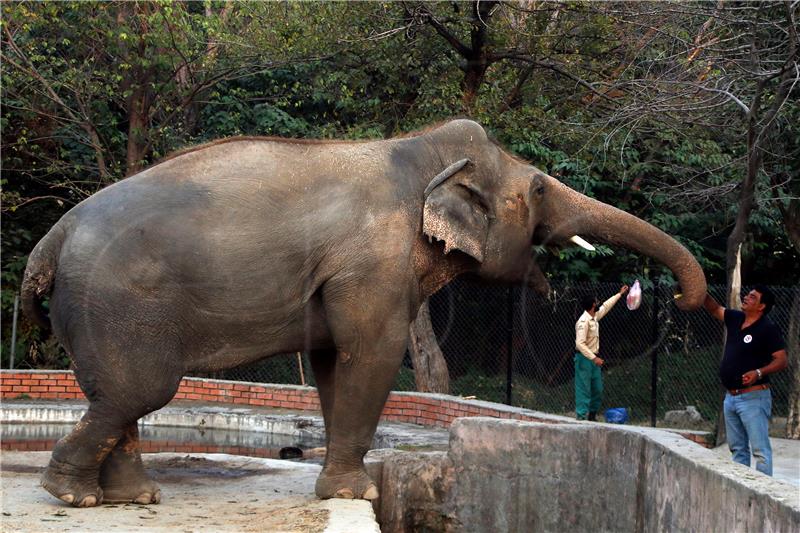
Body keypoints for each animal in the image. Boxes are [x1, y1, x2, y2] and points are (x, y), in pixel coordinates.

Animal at [20, 118, 708, 504]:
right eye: (538, 188)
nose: (681, 298)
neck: (418, 154)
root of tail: (50, 240)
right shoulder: (374, 261)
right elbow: (371, 355)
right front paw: (359, 493)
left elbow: (332, 363)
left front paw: (345, 486)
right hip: (117, 301)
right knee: (140, 391)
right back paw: (73, 497)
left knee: (120, 396)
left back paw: (132, 499)